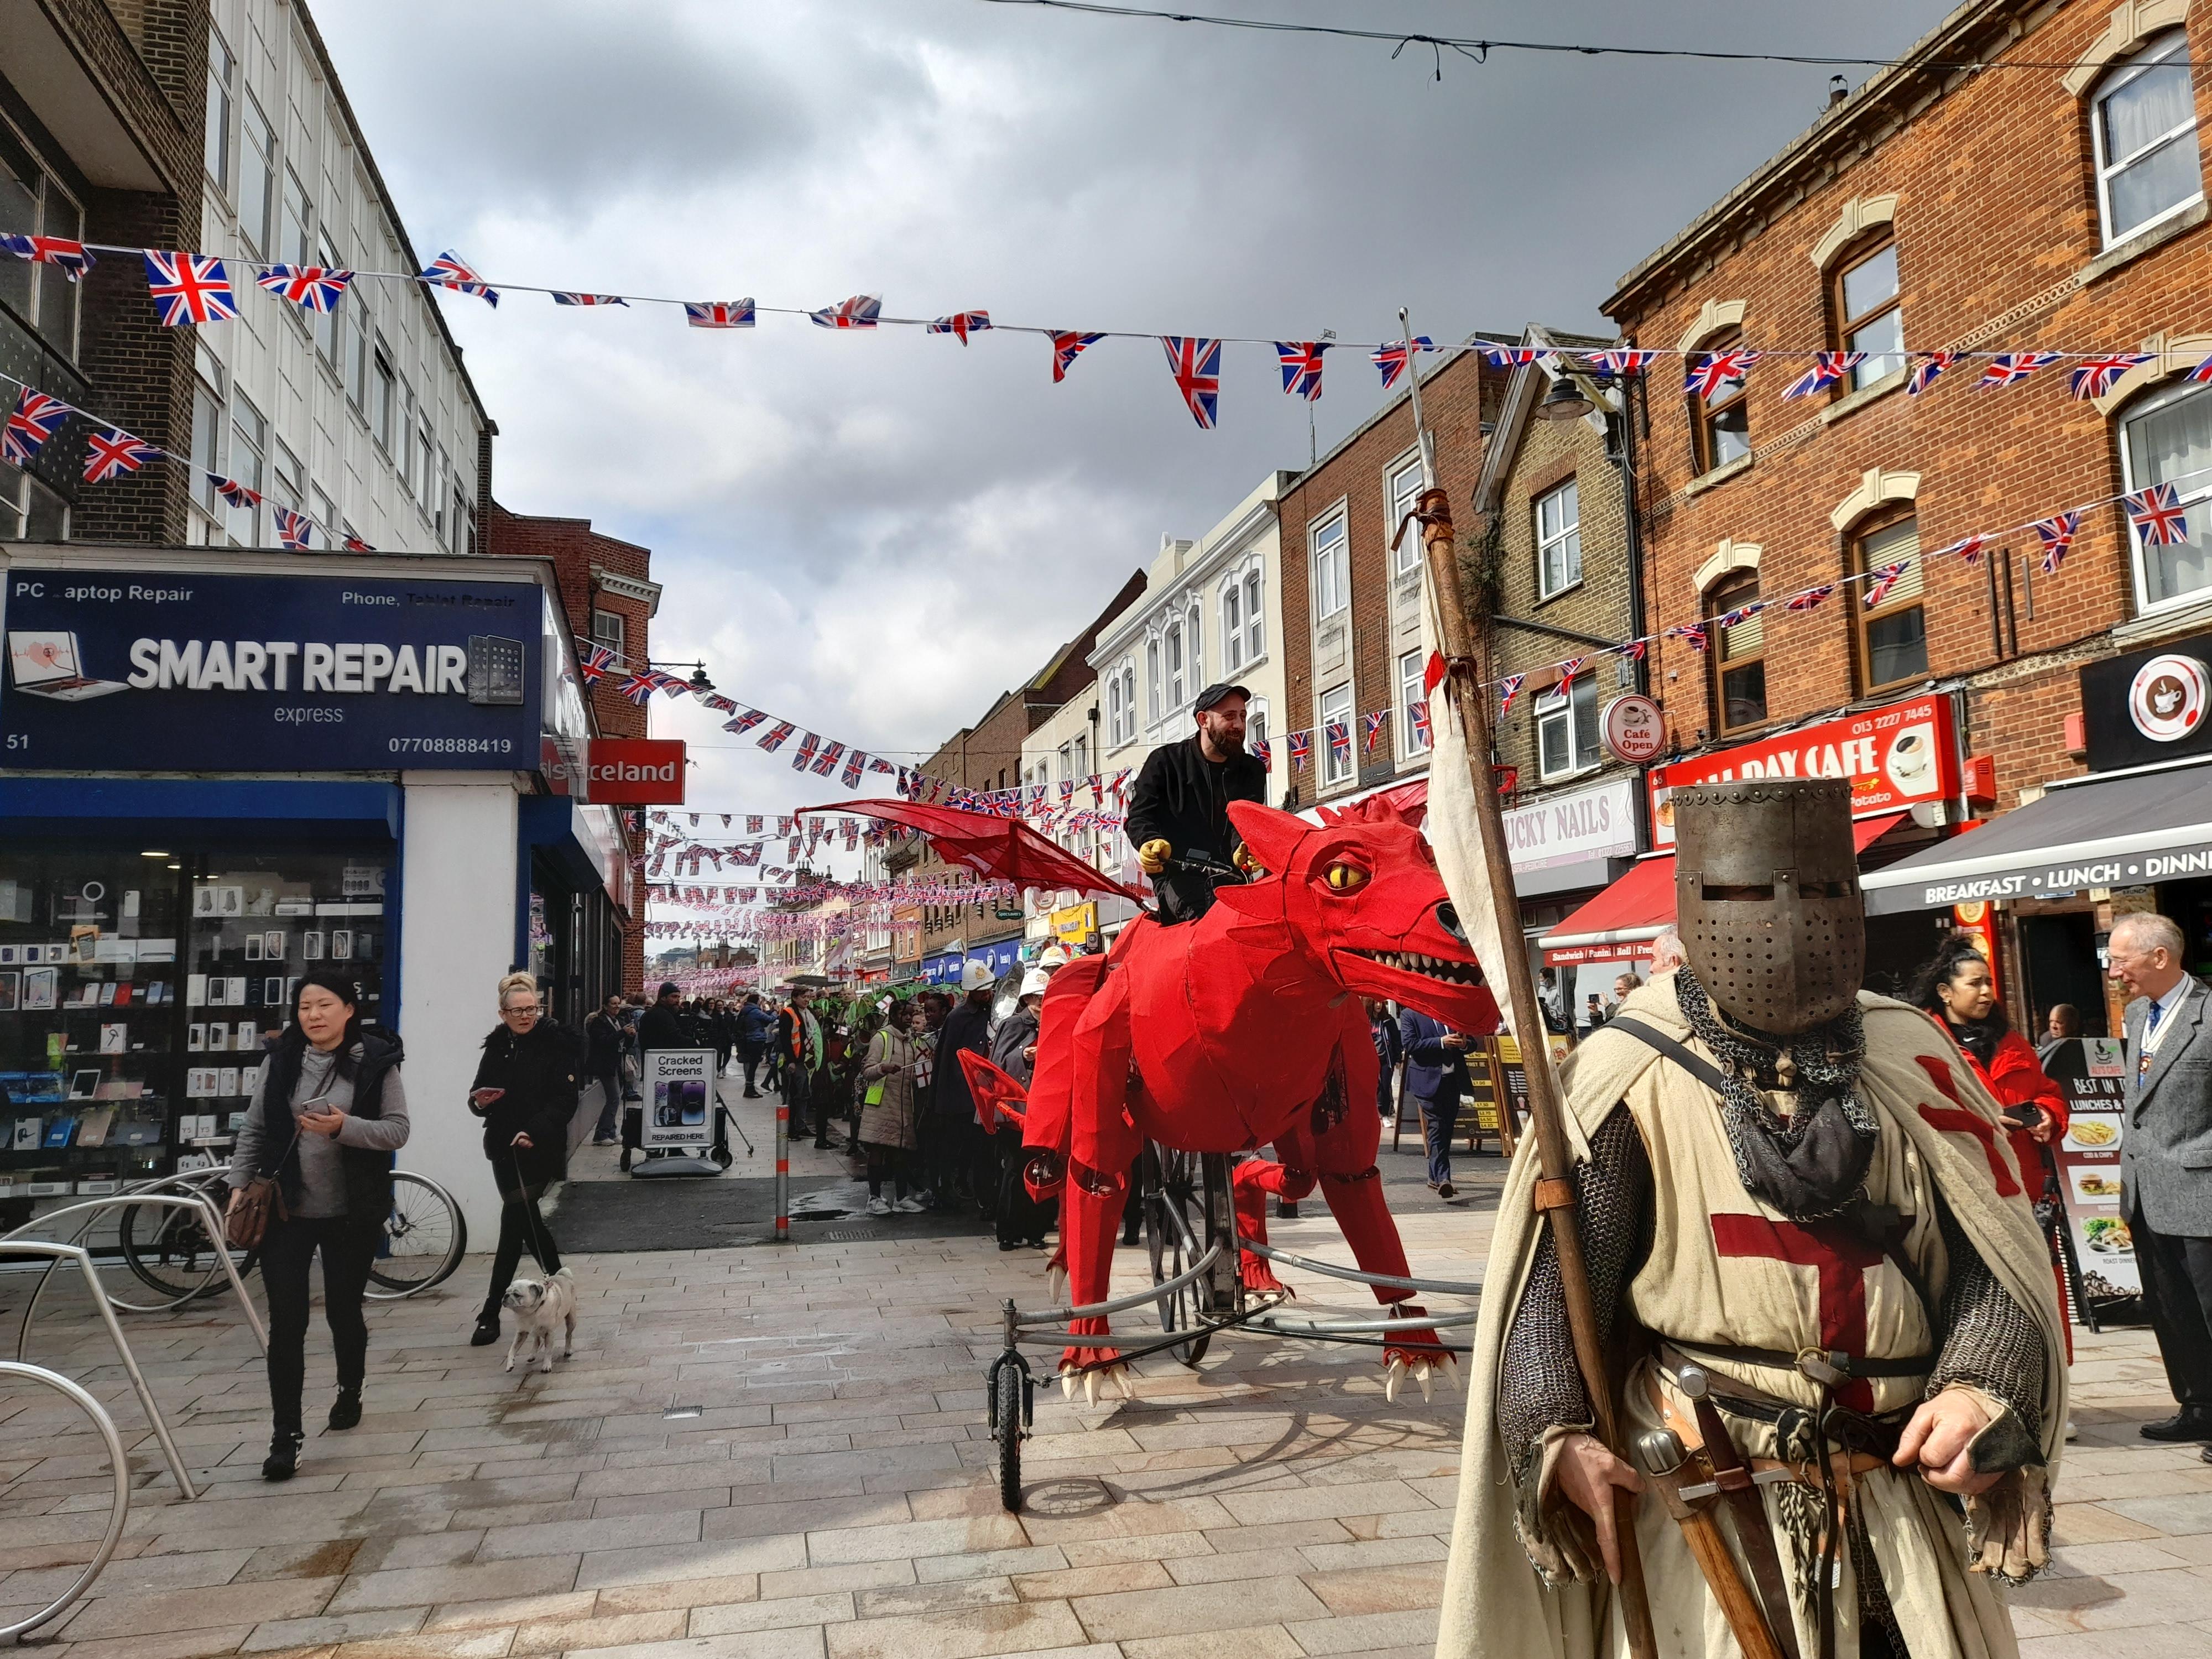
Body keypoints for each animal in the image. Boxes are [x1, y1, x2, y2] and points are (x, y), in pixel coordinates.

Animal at [498, 1274, 575, 1380]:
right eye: (506, 1292)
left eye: (517, 1295)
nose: (506, 1296)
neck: (532, 1312)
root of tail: (562, 1275)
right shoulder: (521, 1332)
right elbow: (512, 1349)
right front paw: (510, 1364)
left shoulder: (549, 1333)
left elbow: (548, 1351)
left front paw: (546, 1366)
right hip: (535, 1331)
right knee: (537, 1341)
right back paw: (532, 1355)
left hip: (571, 1320)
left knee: (568, 1335)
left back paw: (568, 1349)